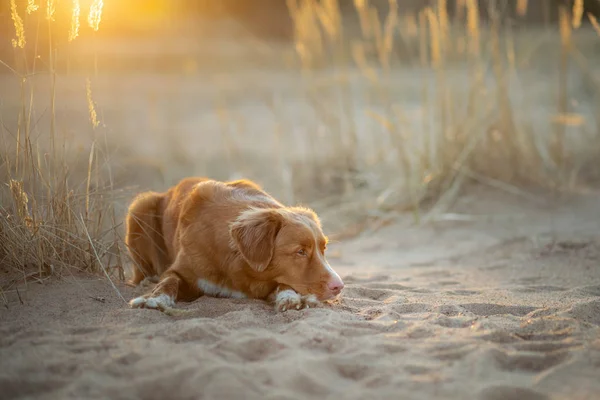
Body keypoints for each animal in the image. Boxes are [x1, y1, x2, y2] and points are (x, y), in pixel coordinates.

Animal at [124, 177, 344, 312]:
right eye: (300, 252)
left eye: (323, 249)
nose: (339, 286)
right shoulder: (181, 271)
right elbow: (169, 280)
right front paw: (154, 298)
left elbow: (285, 284)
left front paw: (291, 298)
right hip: (139, 207)